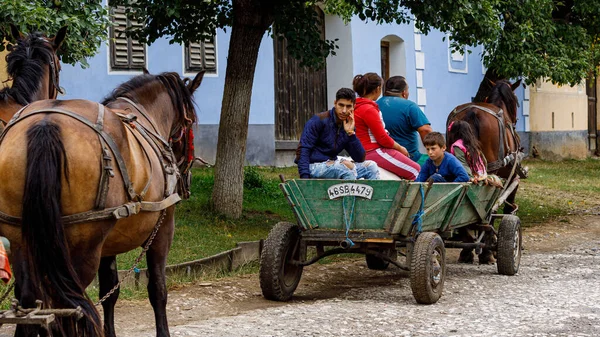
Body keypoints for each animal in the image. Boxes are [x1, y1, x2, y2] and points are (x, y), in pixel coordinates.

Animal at [0, 69, 204, 334]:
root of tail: (46, 123)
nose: (185, 179)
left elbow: (110, 291)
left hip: (22, 243)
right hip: (79, 250)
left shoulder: (108, 244)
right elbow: (158, 290)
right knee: (69, 306)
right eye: (190, 123)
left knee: (30, 302)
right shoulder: (162, 231)